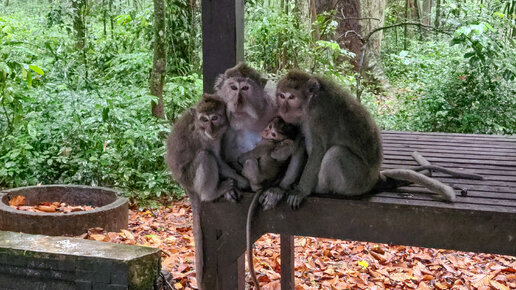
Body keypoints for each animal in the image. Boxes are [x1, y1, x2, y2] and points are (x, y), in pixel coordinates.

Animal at [266, 70, 456, 208]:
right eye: (281, 95)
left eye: (291, 97)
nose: (283, 109)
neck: (308, 104)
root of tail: (375, 178)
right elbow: (300, 145)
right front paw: (280, 188)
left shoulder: (319, 115)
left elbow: (318, 150)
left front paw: (301, 191)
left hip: (356, 180)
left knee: (335, 153)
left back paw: (319, 188)